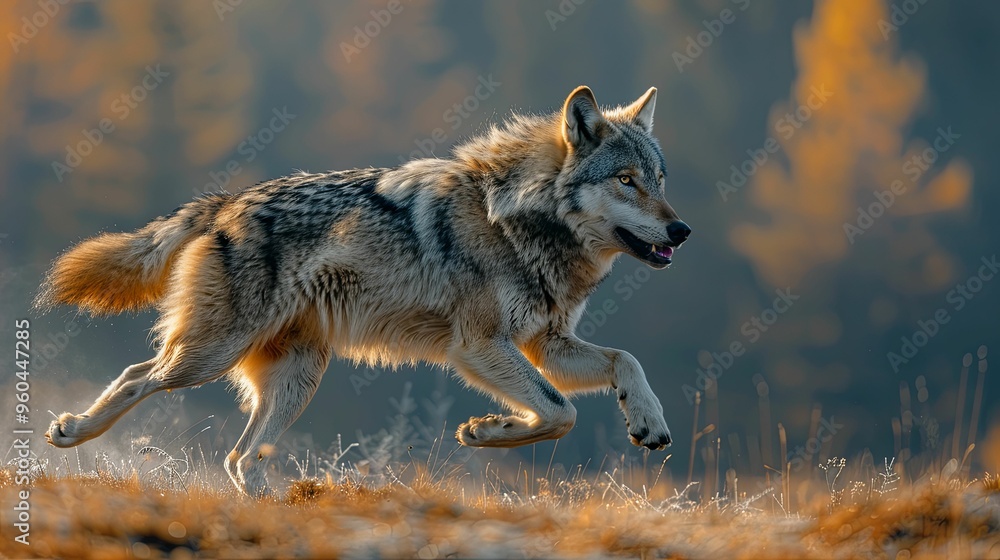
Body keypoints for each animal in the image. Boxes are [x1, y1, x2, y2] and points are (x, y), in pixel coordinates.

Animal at [37, 85, 691, 496]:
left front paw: (647, 421)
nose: (681, 231)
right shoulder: (480, 347)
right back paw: (72, 432)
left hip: (297, 378)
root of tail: (226, 202)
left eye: (659, 180)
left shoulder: (546, 345)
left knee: (238, 457)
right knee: (137, 376)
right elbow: (560, 411)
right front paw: (486, 432)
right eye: (626, 181)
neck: (517, 222)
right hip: (209, 357)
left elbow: (623, 363)